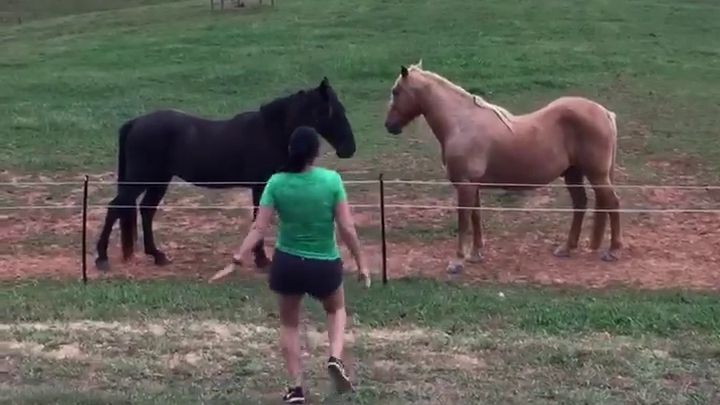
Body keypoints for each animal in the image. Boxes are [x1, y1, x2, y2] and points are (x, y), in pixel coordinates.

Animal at [95, 77, 354, 270]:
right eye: (331, 112)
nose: (349, 148)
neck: (270, 132)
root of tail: (135, 122)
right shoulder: (260, 186)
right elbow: (258, 219)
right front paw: (262, 260)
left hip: (159, 181)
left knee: (146, 211)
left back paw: (157, 255)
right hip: (142, 180)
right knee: (115, 208)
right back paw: (102, 258)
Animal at [386, 61, 620, 274]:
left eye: (396, 91)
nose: (389, 126)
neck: (461, 123)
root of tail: (604, 112)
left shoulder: (465, 185)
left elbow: (463, 221)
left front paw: (458, 261)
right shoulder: (473, 185)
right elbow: (476, 216)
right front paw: (476, 254)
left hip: (597, 175)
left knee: (613, 203)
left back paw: (613, 251)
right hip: (573, 174)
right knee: (580, 204)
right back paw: (567, 248)